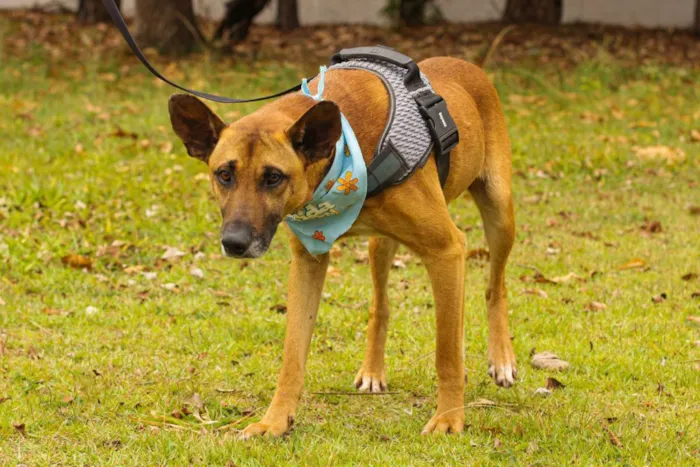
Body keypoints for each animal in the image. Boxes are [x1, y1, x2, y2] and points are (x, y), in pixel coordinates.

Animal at [170, 58, 516, 438]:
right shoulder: (308, 260)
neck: (343, 157)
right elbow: (292, 356)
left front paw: (449, 418)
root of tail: (464, 63)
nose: (234, 243)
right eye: (224, 175)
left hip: (500, 213)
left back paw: (502, 359)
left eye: (273, 177)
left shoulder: (447, 250)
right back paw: (373, 371)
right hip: (381, 245)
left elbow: (448, 354)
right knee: (381, 305)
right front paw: (275, 420)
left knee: (495, 286)